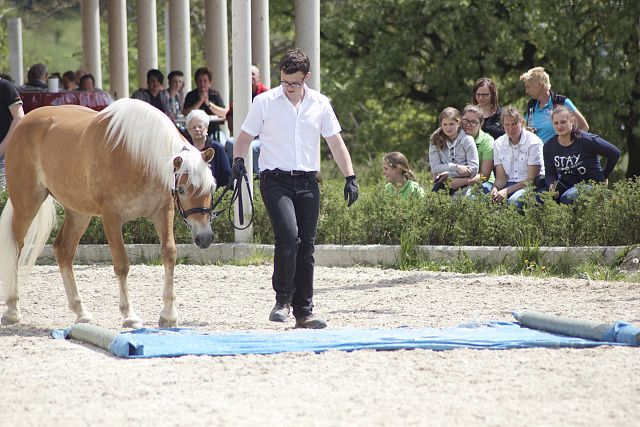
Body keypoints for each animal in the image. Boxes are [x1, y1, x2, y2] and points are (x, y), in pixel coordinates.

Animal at [0, 98, 218, 330]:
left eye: (211, 188)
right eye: (183, 189)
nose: (205, 238)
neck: (138, 155)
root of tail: (25, 122)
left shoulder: (163, 212)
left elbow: (169, 254)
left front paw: (168, 315)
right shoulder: (111, 217)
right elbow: (122, 264)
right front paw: (129, 315)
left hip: (78, 212)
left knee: (63, 250)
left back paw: (81, 313)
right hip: (27, 204)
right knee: (16, 247)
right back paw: (12, 310)